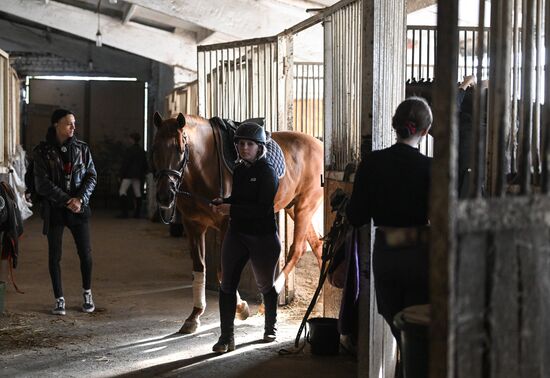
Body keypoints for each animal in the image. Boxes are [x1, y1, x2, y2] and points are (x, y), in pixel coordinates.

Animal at [152, 112, 324, 334]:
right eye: (155, 148)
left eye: (180, 149)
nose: (165, 196)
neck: (204, 164)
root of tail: (320, 146)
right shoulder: (194, 226)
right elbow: (199, 268)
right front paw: (194, 316)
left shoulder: (226, 224)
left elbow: (223, 271)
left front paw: (240, 308)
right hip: (293, 207)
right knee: (317, 247)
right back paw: (319, 304)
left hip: (305, 206)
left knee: (297, 249)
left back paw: (272, 296)